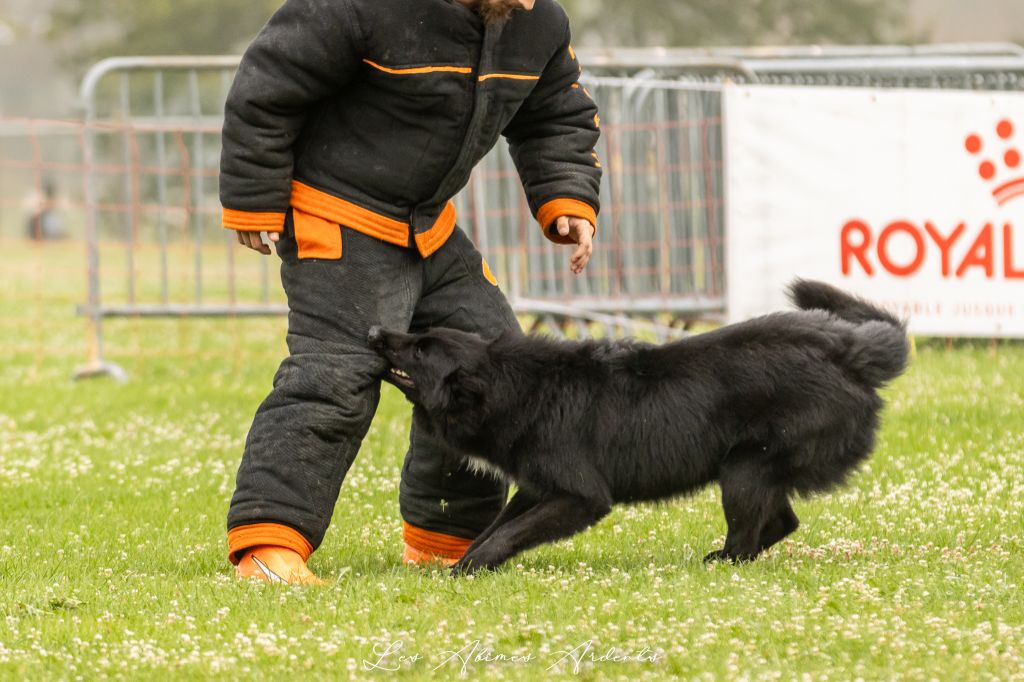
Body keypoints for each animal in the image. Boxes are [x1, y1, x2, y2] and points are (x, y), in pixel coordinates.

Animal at [366, 278, 905, 569]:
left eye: (420, 350)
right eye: (418, 336)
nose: (373, 330)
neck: (519, 388)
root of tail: (847, 349)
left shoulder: (581, 496)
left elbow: (506, 533)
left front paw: (470, 568)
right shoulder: (537, 487)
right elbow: (497, 526)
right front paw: (466, 561)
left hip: (745, 468)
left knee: (753, 533)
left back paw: (720, 563)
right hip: (753, 469)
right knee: (781, 523)